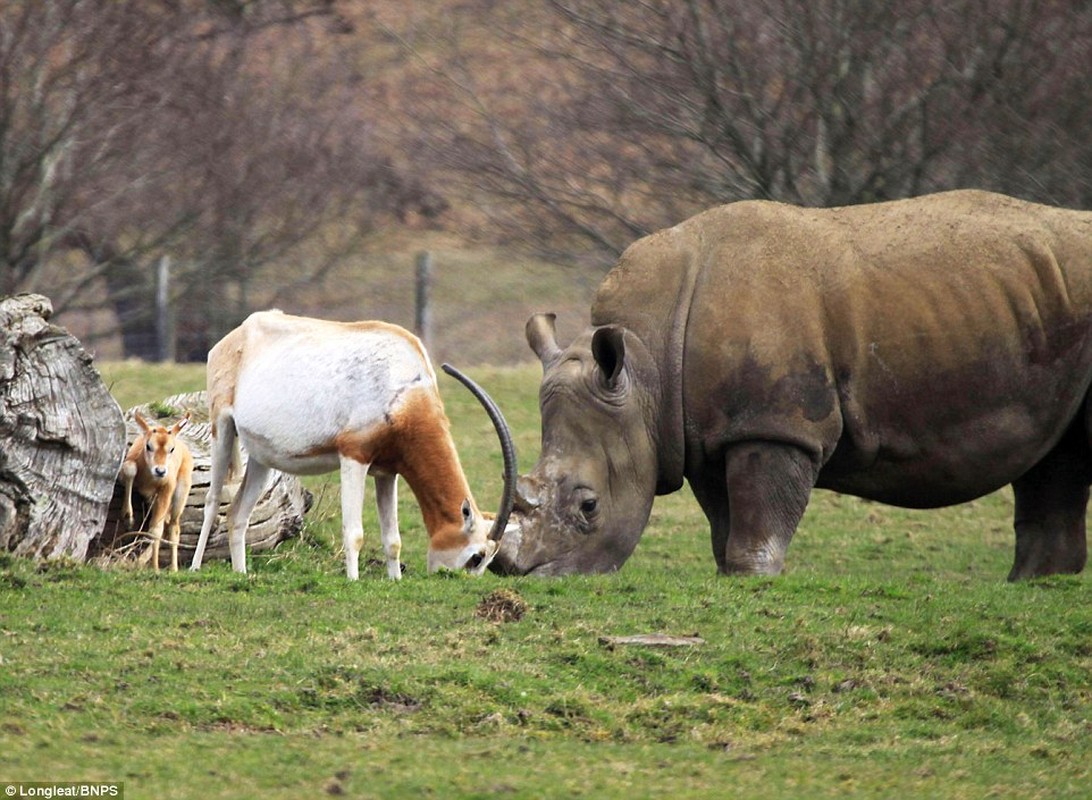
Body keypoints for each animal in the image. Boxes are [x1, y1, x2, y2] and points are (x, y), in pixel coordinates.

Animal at [120, 412, 195, 567]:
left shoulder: (167, 489)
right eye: (148, 446)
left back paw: (173, 568)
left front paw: (155, 568)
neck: (148, 478)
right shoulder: (125, 470)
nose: (160, 471)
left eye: (171, 449)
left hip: (180, 495)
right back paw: (140, 561)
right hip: (152, 500)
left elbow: (155, 530)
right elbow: (130, 469)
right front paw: (128, 517)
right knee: (165, 524)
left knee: (173, 527)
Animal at [190, 309, 517, 576]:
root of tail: (237, 334)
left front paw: (394, 579)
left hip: (261, 458)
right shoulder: (354, 456)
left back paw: (241, 574)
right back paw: (194, 568)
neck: (405, 389)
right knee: (212, 500)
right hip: (222, 427)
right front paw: (353, 580)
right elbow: (354, 533)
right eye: (477, 556)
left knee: (238, 513)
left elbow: (393, 539)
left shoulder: (388, 470)